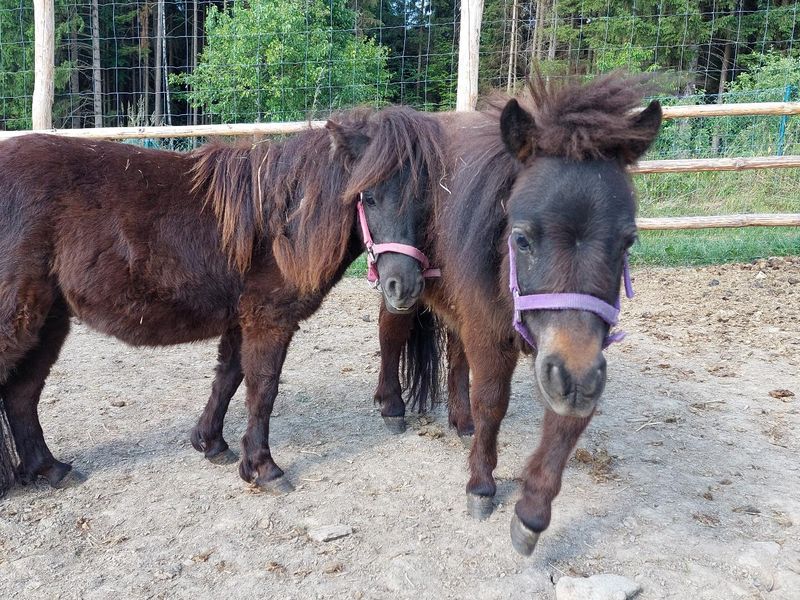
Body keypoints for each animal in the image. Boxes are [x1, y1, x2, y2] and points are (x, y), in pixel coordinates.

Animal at [0, 106, 444, 496]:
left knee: (22, 395)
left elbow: (229, 377)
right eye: (367, 197)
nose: (403, 286)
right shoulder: (268, 319)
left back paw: (51, 470)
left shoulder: (240, 318)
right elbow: (262, 388)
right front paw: (263, 468)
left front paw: (211, 443)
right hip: (20, 319)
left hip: (49, 321)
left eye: (425, 200)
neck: (283, 223)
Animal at [376, 72, 664, 556]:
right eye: (522, 238)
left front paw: (531, 512)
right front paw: (481, 485)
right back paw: (392, 407)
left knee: (456, 359)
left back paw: (460, 421)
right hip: (403, 290)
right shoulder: (492, 333)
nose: (576, 381)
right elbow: (492, 401)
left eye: (628, 241)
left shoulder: (573, 355)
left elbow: (566, 425)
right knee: (391, 335)